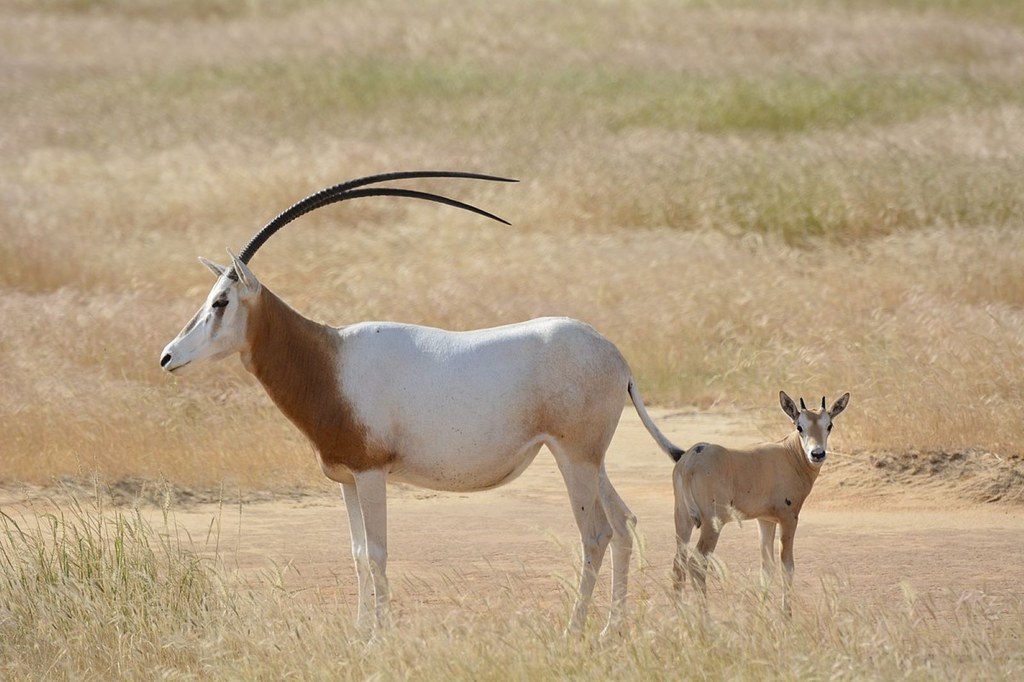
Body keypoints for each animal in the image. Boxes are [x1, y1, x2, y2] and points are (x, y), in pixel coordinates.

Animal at [158, 173, 655, 634]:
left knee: (596, 533)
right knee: (624, 523)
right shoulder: (346, 478)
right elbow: (358, 553)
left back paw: (575, 630)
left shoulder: (371, 473)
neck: (327, 358)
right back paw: (612, 629)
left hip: (574, 459)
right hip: (589, 460)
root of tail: (616, 356)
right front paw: (360, 631)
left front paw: (381, 636)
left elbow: (378, 553)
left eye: (221, 301)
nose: (167, 357)